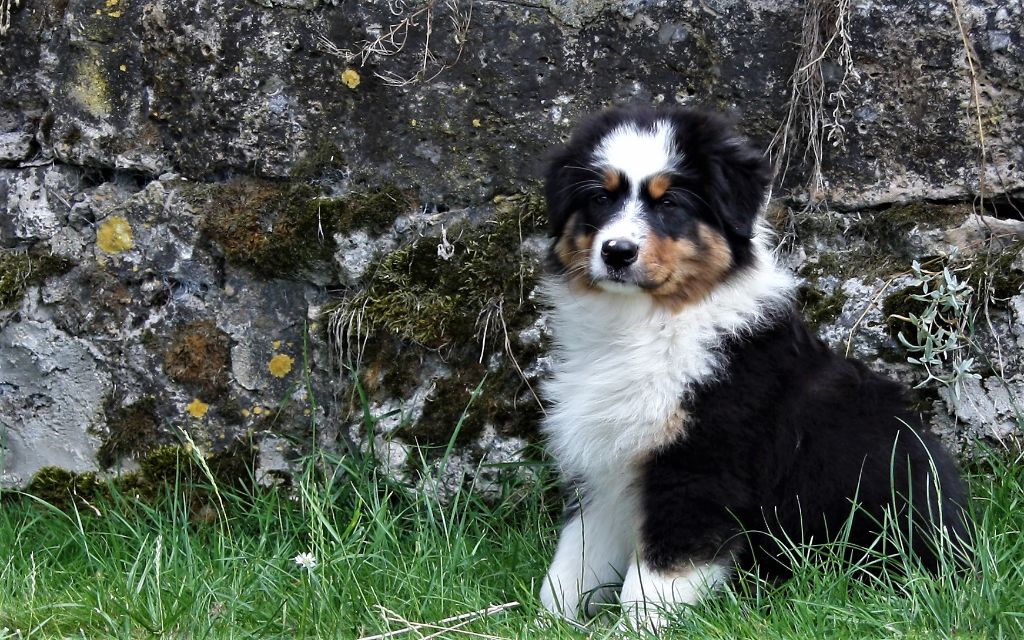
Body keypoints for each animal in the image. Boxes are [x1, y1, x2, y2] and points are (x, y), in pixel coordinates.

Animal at [537, 106, 972, 630]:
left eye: (670, 204)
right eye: (600, 198)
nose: (616, 251)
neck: (645, 323)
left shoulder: (699, 471)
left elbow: (656, 579)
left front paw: (634, 630)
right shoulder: (604, 469)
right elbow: (573, 562)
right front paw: (545, 624)